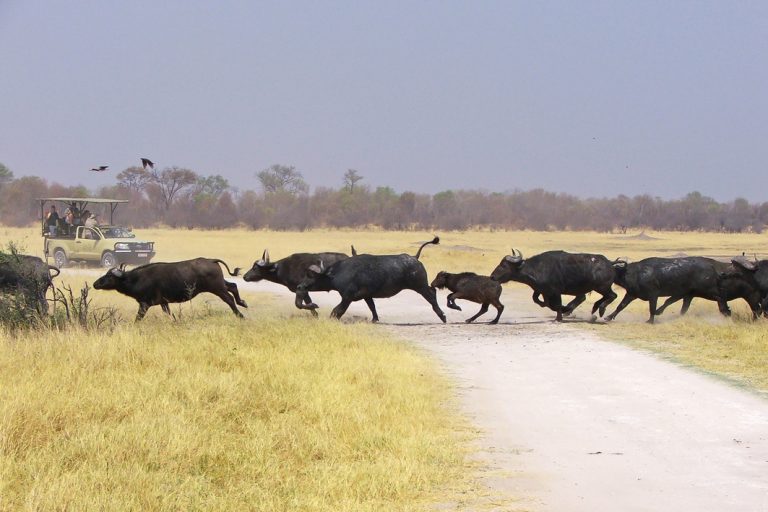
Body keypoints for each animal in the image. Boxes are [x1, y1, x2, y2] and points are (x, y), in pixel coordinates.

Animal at [93, 260, 248, 320]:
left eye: (109, 276)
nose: (95, 284)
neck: (136, 279)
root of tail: (211, 260)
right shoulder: (164, 303)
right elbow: (169, 314)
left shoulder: (144, 304)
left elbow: (138, 318)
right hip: (220, 284)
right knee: (233, 285)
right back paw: (243, 303)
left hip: (217, 288)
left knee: (229, 299)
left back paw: (240, 315)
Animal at [296, 237, 448, 324]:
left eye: (310, 276)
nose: (299, 286)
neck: (338, 273)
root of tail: (414, 257)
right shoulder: (367, 295)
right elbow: (372, 307)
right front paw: (375, 319)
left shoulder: (347, 297)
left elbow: (338, 310)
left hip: (420, 286)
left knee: (432, 295)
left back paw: (442, 316)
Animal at [608, 256, 760, 324]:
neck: (634, 273)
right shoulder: (631, 294)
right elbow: (621, 306)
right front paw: (608, 317)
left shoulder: (653, 295)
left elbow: (652, 308)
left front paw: (650, 321)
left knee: (724, 300)